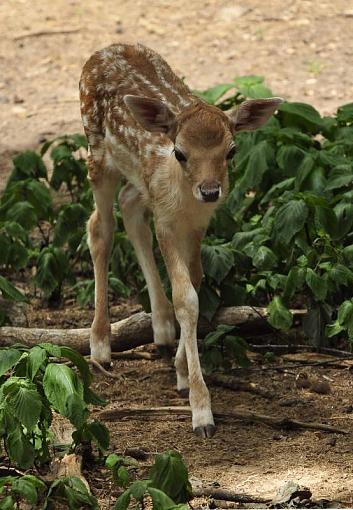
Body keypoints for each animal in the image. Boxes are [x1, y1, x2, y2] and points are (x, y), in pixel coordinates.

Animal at [80, 42, 284, 438]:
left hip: (136, 180)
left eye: (231, 150)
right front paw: (201, 412)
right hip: (97, 151)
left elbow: (196, 283)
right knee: (100, 227)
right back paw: (100, 346)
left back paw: (160, 328)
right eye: (180, 152)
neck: (183, 197)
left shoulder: (197, 224)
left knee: (129, 204)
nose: (210, 190)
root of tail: (103, 50)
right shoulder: (167, 221)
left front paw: (181, 374)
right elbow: (185, 297)